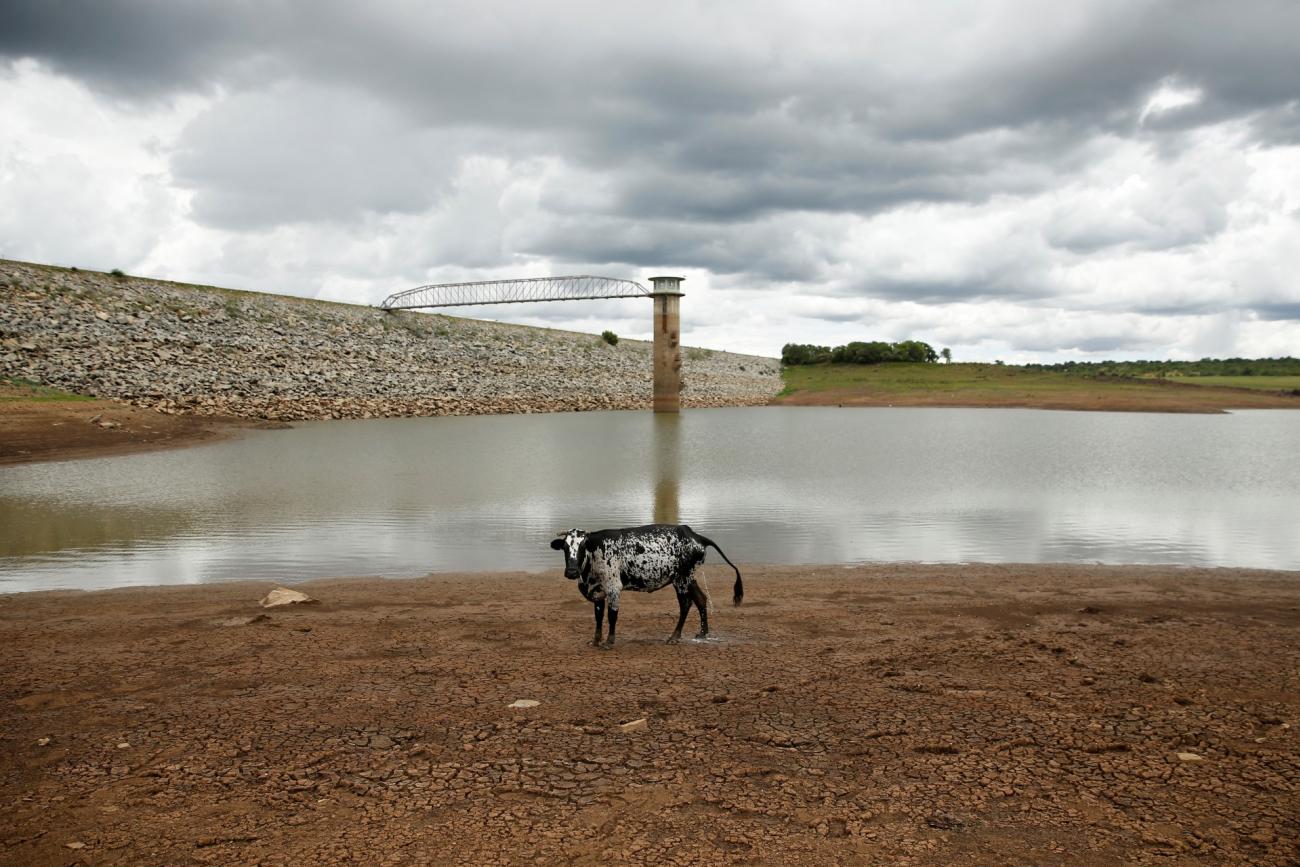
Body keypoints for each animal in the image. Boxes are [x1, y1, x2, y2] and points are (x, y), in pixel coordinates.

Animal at [546, 522, 743, 649]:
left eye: (582, 547)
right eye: (565, 548)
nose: (571, 572)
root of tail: (695, 535)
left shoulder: (613, 588)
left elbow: (612, 616)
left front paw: (609, 641)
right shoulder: (598, 592)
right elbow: (598, 617)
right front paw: (595, 640)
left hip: (681, 580)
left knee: (686, 604)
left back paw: (674, 636)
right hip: (689, 578)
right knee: (701, 599)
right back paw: (703, 633)